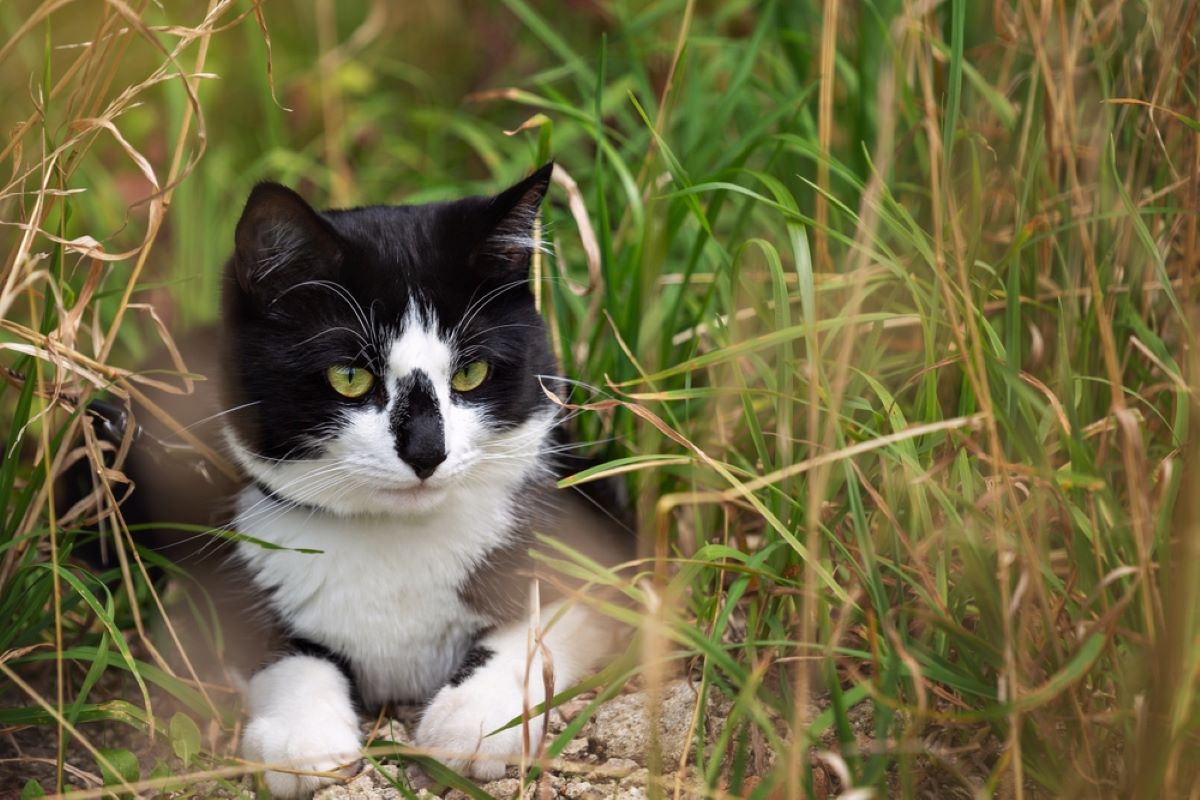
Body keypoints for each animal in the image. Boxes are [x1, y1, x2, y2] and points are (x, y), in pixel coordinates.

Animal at [139, 164, 633, 800]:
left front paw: (471, 722)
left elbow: (545, 620)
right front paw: (302, 739)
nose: (427, 451)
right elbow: (281, 650)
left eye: (471, 372)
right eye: (349, 377)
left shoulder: (597, 519)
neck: (397, 540)